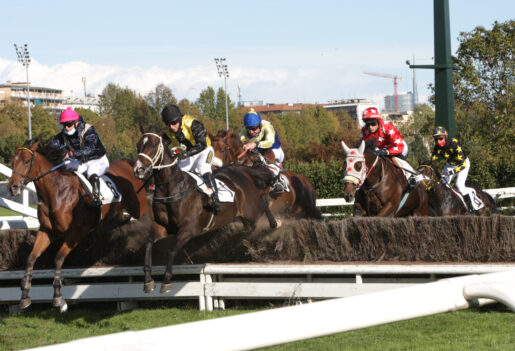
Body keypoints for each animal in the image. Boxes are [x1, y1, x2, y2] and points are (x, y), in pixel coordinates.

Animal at [8, 139, 151, 312]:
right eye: (12, 162)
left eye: (27, 161)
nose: (13, 187)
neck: (57, 192)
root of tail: (127, 164)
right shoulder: (47, 232)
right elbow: (30, 259)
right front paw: (24, 296)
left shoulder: (76, 232)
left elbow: (58, 258)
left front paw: (59, 298)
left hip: (141, 208)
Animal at [133, 126, 278, 294]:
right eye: (138, 145)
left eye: (154, 144)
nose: (138, 169)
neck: (171, 188)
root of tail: (243, 170)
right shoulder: (162, 226)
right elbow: (148, 243)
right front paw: (148, 280)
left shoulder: (189, 229)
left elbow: (171, 250)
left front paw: (166, 281)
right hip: (243, 215)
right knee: (250, 225)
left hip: (251, 210)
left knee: (263, 204)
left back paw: (274, 224)